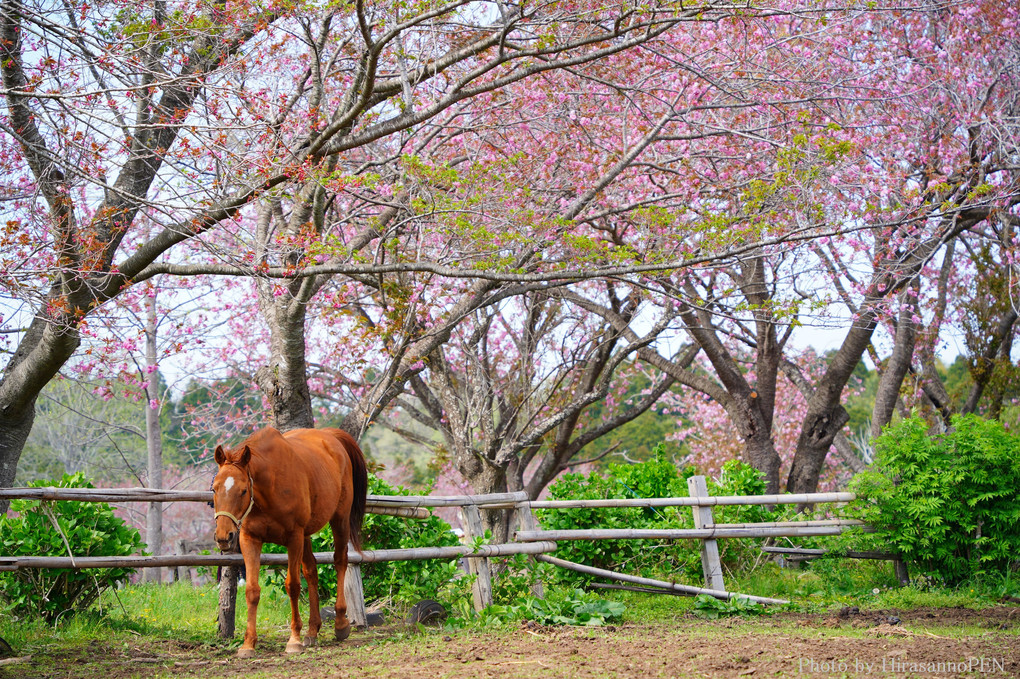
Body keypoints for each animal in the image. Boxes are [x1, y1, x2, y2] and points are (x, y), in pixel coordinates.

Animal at [211, 426, 367, 652]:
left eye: (243, 491)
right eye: (214, 488)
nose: (224, 536)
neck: (269, 487)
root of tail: (330, 435)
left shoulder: (294, 538)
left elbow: (292, 586)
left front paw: (294, 639)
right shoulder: (250, 539)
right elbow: (252, 590)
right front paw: (248, 643)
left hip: (340, 520)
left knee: (340, 561)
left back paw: (340, 624)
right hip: (307, 535)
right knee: (311, 570)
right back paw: (312, 629)